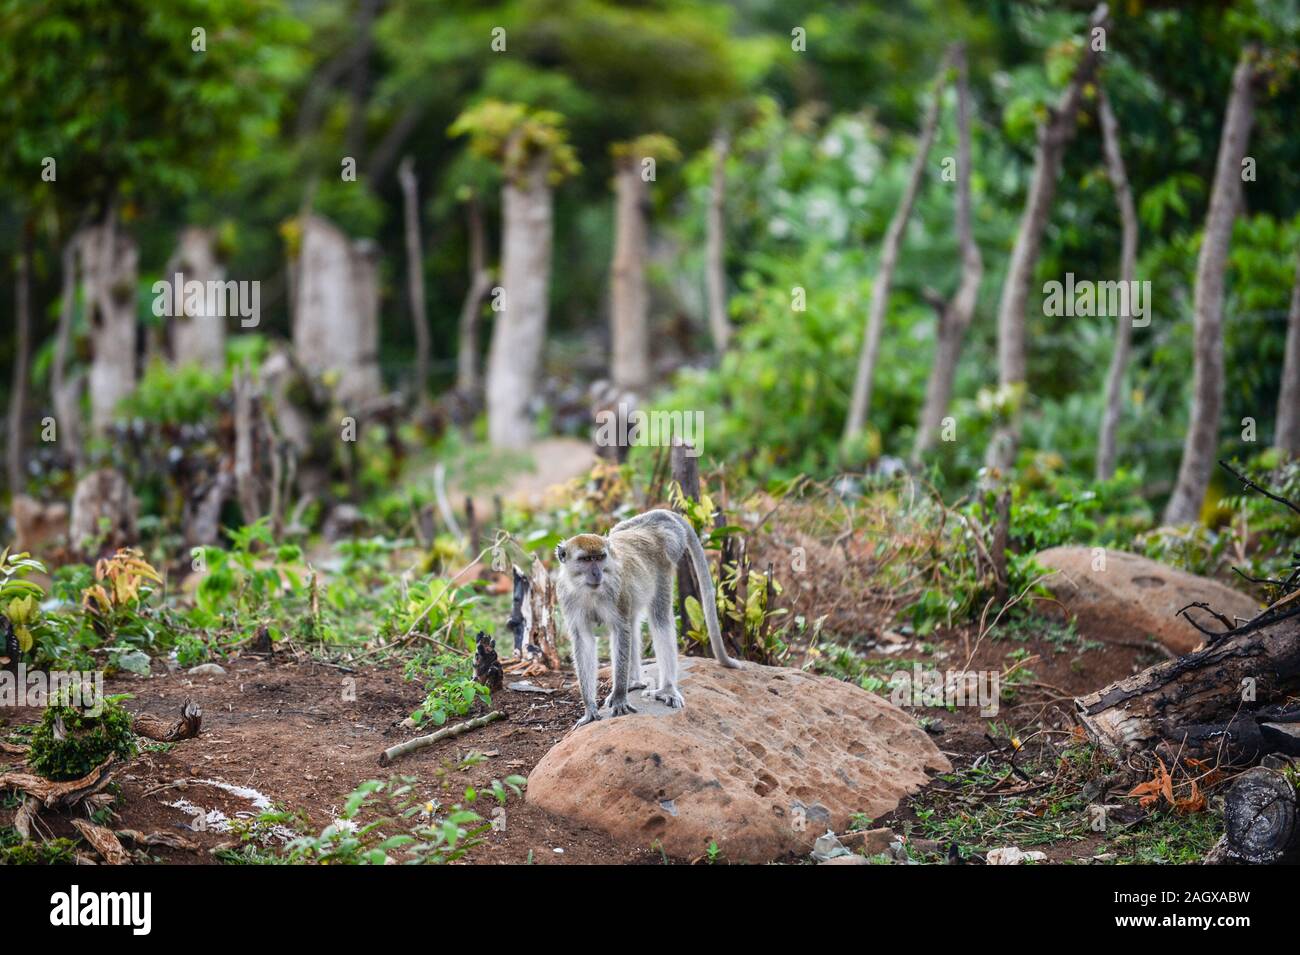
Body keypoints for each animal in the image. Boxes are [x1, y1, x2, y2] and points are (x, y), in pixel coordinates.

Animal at [556, 511, 743, 727]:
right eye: (586, 559)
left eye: (599, 558)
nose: (596, 573)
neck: (589, 590)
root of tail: (655, 520)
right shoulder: (567, 597)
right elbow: (584, 639)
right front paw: (590, 708)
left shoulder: (617, 592)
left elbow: (621, 631)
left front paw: (619, 698)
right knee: (634, 622)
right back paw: (633, 681)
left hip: (664, 563)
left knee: (660, 618)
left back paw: (666, 688)